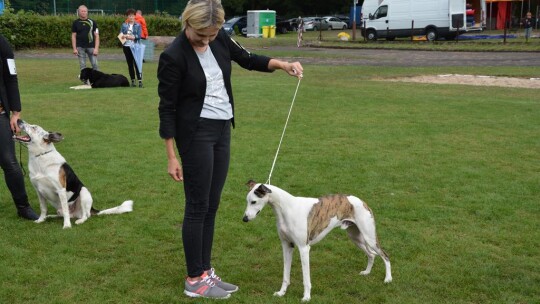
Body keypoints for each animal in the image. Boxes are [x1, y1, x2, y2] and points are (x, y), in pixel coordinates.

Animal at [243, 180, 390, 302]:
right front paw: (281, 293)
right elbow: (285, 275)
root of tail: (361, 201)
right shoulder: (287, 246)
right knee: (372, 254)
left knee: (385, 255)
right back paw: (367, 272)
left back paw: (388, 279)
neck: (287, 208)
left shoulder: (303, 248)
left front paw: (306, 297)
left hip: (369, 237)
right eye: (247, 201)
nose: (244, 219)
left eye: (254, 201)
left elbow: (306, 278)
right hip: (356, 237)